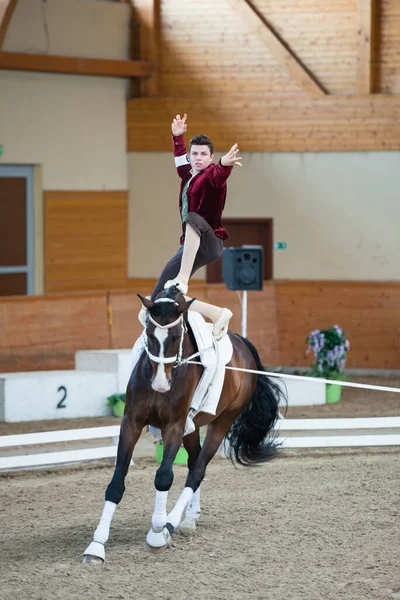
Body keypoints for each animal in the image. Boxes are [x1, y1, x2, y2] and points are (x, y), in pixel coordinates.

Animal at [83, 286, 286, 564]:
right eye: (149, 334)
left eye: (177, 336)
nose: (160, 384)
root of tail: (242, 342)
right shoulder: (131, 423)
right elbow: (115, 483)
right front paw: (96, 545)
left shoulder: (174, 426)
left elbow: (164, 477)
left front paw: (157, 533)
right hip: (193, 427)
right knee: (193, 464)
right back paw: (189, 519)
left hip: (221, 422)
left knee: (198, 470)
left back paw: (170, 523)